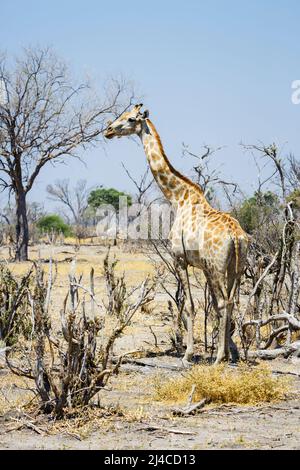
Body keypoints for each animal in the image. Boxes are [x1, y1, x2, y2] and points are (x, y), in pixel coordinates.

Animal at [104, 104, 250, 366]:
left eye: (130, 119)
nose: (108, 130)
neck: (178, 198)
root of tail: (236, 236)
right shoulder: (203, 266)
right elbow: (212, 306)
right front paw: (231, 350)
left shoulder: (180, 259)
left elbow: (190, 305)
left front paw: (188, 354)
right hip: (237, 267)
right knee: (231, 301)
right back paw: (227, 354)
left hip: (218, 267)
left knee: (225, 302)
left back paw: (217, 358)